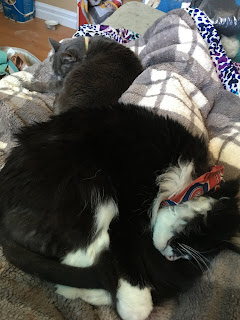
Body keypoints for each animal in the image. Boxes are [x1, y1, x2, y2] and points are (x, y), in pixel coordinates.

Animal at [0, 102, 239, 320]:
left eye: (186, 253)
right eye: (191, 234)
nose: (170, 256)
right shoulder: (127, 210)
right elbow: (126, 253)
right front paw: (136, 303)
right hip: (90, 185)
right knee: (84, 261)